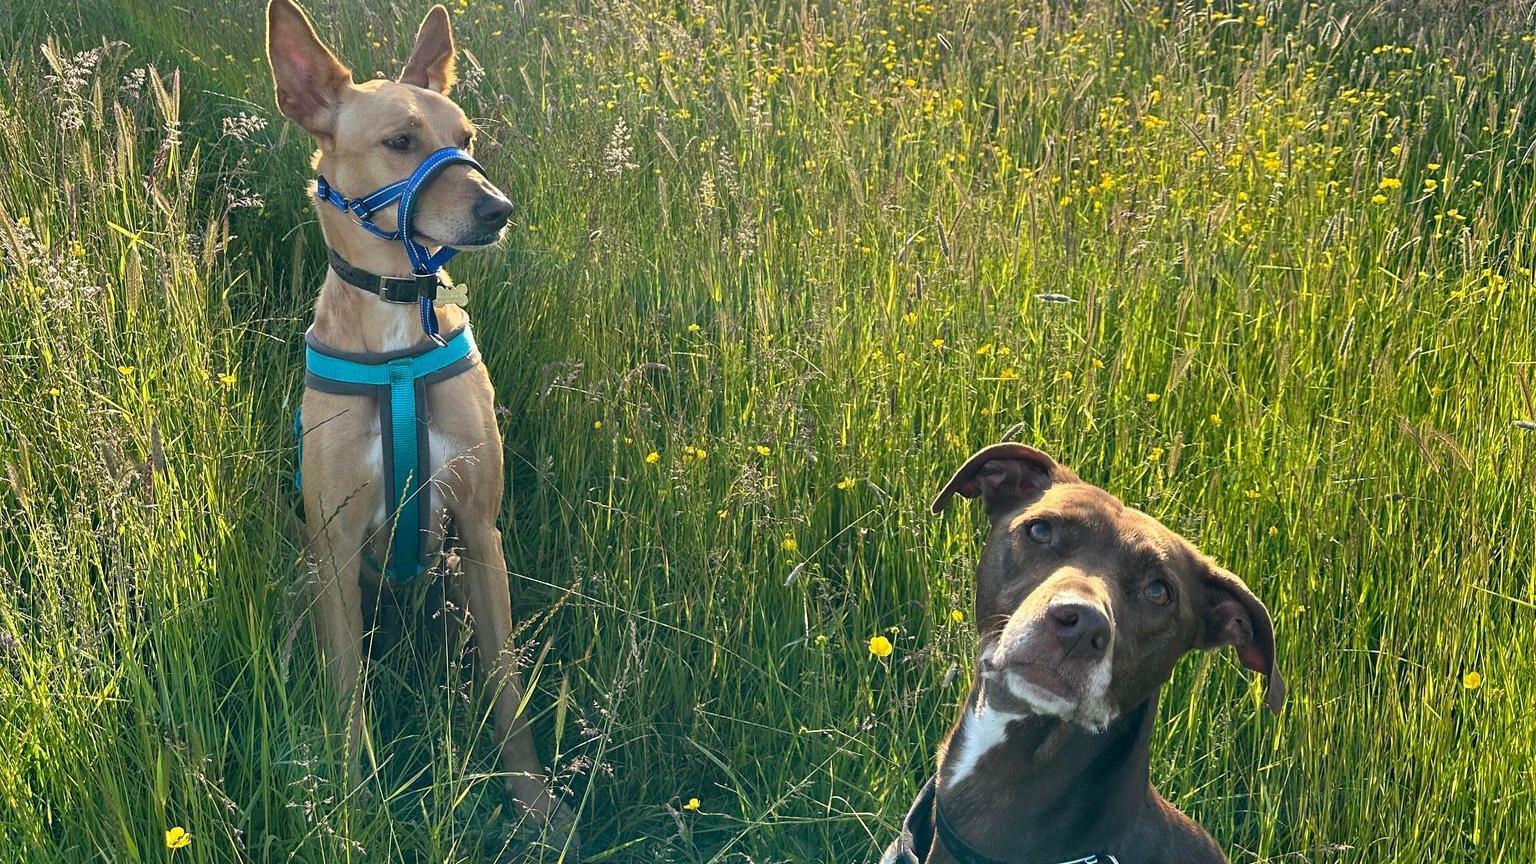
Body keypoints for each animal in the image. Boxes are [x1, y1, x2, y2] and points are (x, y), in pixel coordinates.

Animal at [264, 0, 577, 836]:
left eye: (465, 137)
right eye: (400, 142)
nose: (499, 209)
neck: (400, 340)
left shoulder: (479, 529)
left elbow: (507, 686)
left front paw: (533, 800)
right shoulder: (335, 543)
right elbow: (346, 691)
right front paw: (350, 803)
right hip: (307, 576)